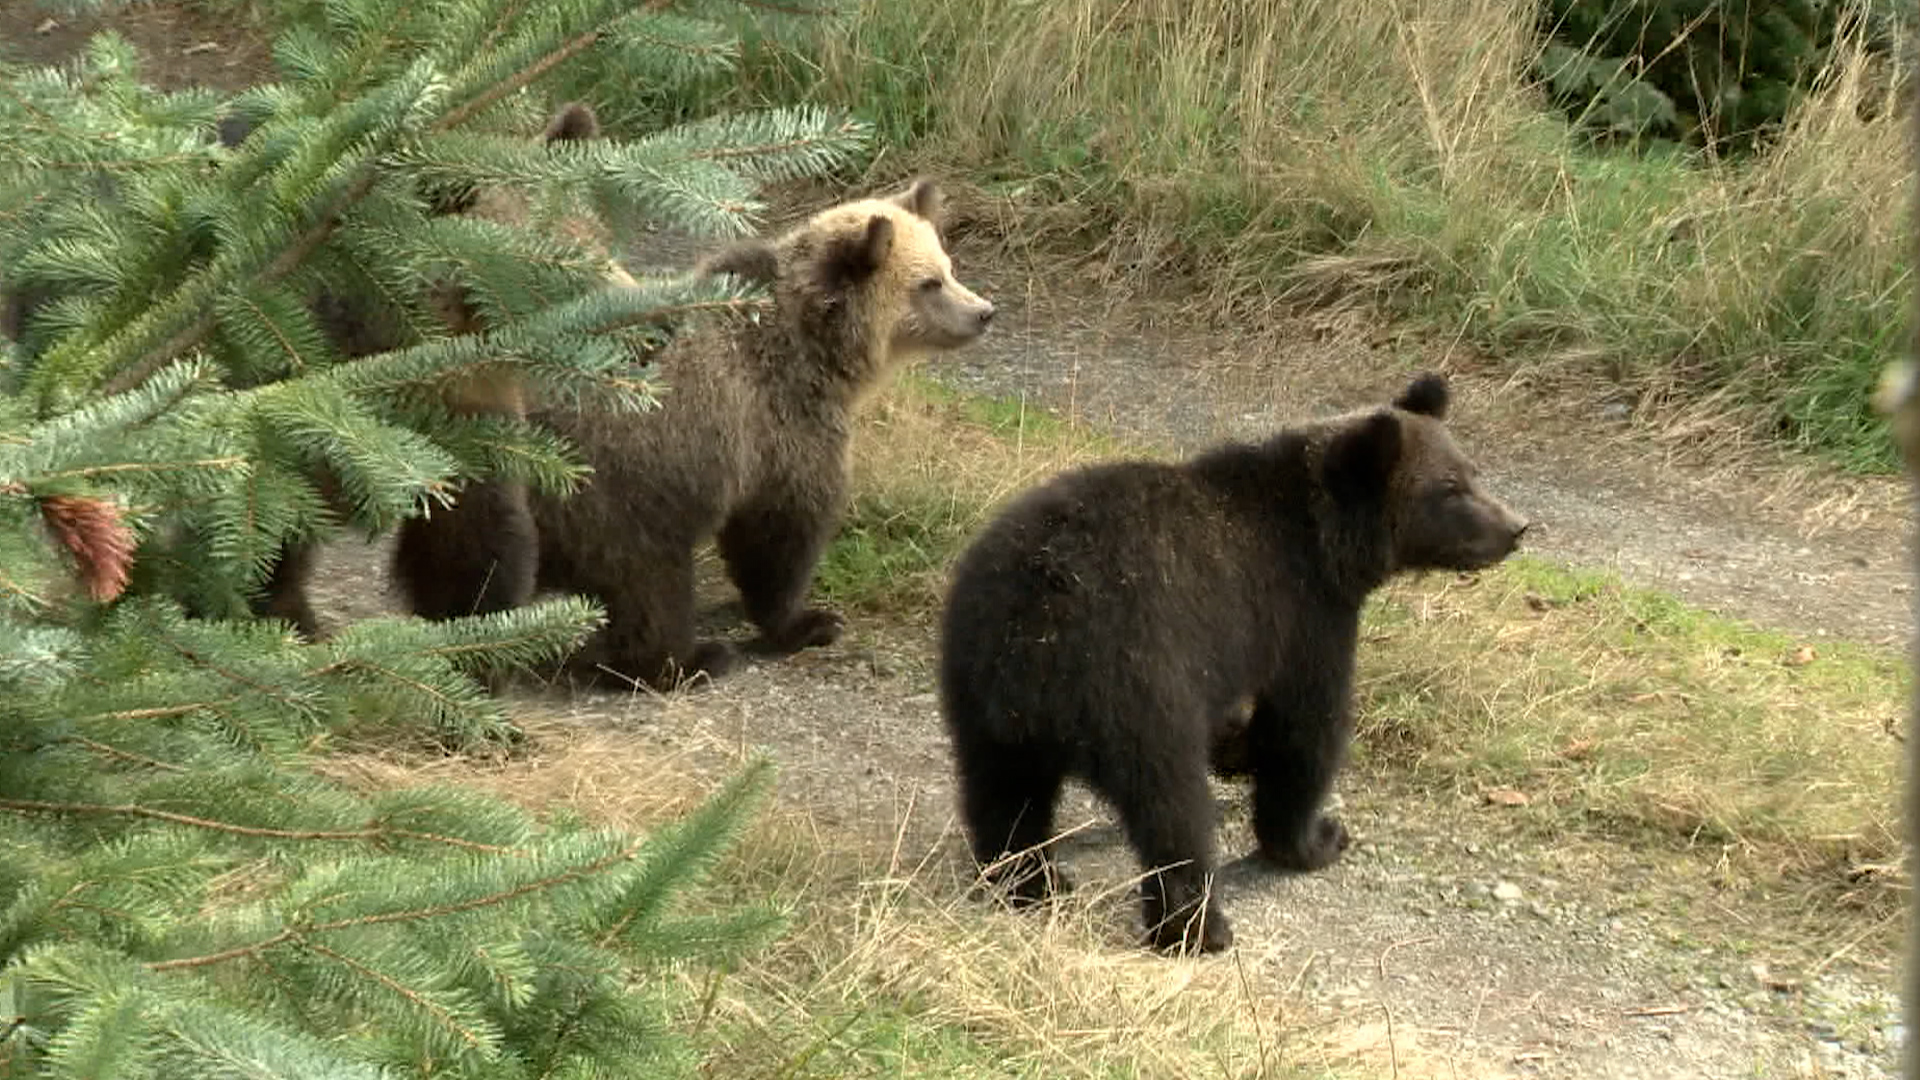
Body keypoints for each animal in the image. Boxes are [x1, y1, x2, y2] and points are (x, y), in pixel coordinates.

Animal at [434, 177, 996, 691]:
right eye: (928, 283)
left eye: (949, 266)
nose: (984, 312)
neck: (815, 350)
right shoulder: (779, 426)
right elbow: (782, 531)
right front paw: (808, 621)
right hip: (618, 482)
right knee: (646, 581)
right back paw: (687, 660)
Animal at [937, 373, 1529, 955]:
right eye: (1449, 488)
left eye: (1473, 472)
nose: (1516, 527)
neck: (1327, 543)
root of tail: (1032, 632)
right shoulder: (1303, 615)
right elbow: (1307, 729)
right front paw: (1317, 837)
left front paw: (1237, 749)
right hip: (1136, 685)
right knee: (1171, 809)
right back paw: (1197, 927)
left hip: (979, 699)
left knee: (1002, 795)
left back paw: (1029, 881)